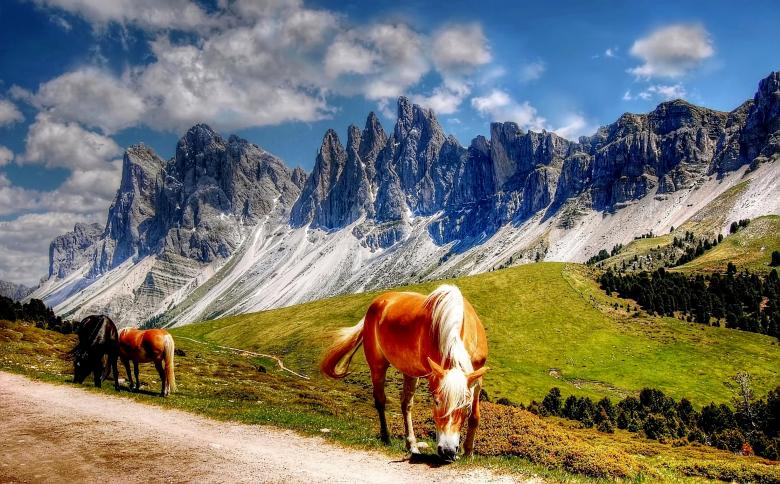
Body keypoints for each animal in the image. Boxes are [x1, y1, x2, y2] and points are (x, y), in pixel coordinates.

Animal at [321, 284, 488, 462]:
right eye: (436, 402)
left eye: (465, 406)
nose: (447, 451)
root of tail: (378, 301)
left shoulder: (477, 379)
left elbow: (475, 417)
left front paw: (468, 452)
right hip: (377, 365)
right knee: (380, 400)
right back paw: (386, 437)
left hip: (410, 372)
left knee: (406, 404)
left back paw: (411, 445)